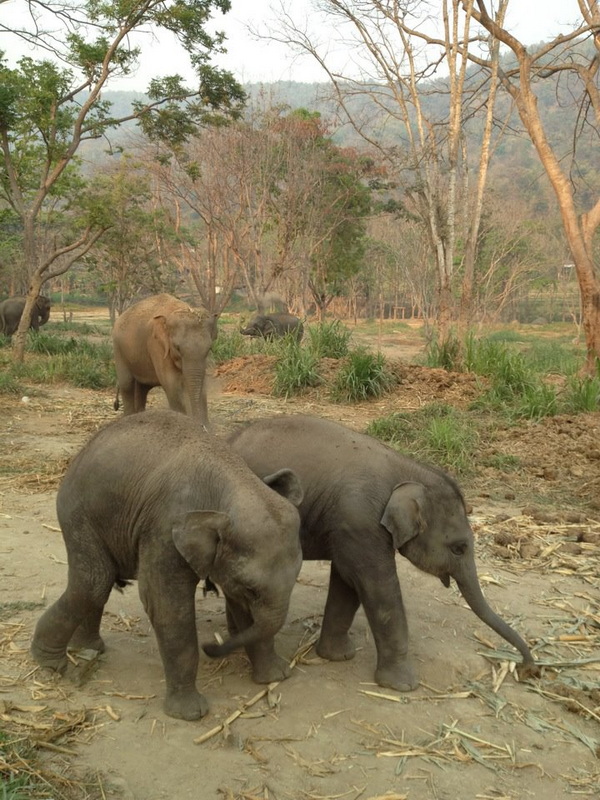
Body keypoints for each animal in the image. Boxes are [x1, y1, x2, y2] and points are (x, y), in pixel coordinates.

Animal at [31, 410, 303, 721]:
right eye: (251, 588)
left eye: (297, 576)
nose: (212, 646)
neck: (233, 480)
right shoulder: (164, 528)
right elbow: (165, 605)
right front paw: (191, 714)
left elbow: (242, 609)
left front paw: (275, 678)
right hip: (78, 513)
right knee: (94, 581)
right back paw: (50, 663)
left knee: (98, 583)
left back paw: (88, 649)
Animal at [112, 293, 218, 427]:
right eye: (177, 347)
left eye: (209, 348)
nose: (200, 425)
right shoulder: (156, 345)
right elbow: (171, 384)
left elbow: (201, 384)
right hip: (118, 349)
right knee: (127, 384)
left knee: (142, 389)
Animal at [228, 414, 539, 692]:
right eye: (459, 548)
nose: (528, 670)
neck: (407, 470)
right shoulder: (361, 521)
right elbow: (378, 587)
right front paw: (403, 686)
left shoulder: (348, 527)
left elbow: (347, 582)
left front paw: (339, 657)